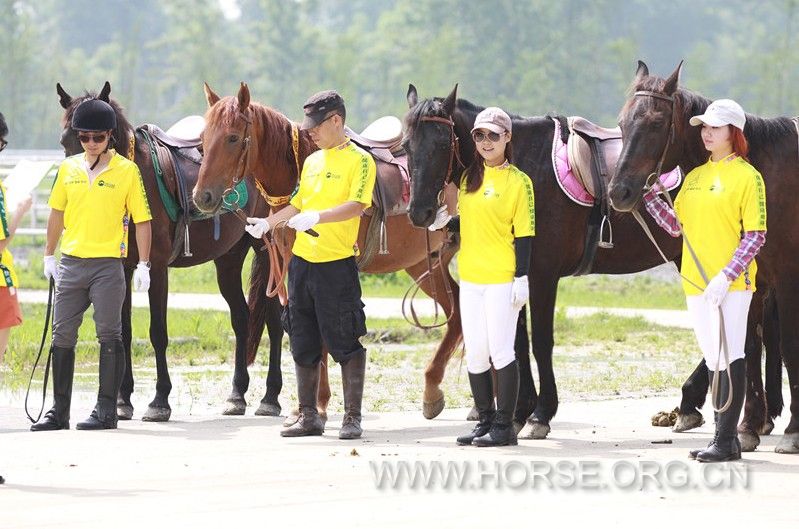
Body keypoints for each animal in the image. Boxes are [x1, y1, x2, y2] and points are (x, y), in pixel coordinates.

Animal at [54, 82, 284, 420]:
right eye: (65, 140)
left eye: (95, 138)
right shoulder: (122, 269)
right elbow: (123, 331)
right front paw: (123, 400)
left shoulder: (157, 267)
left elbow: (157, 333)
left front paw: (159, 400)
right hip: (228, 259)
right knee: (242, 318)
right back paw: (236, 394)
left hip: (267, 250)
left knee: (275, 321)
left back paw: (270, 396)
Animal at [192, 82, 468, 420]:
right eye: (203, 140)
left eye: (232, 137)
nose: (202, 197)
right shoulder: (290, 267)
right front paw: (307, 406)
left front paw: (319, 405)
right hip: (423, 264)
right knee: (458, 312)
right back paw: (436, 394)